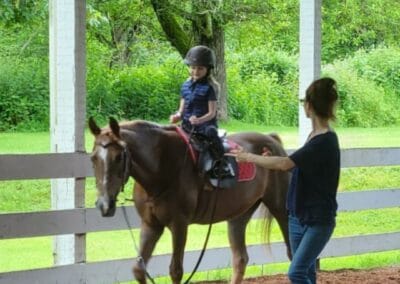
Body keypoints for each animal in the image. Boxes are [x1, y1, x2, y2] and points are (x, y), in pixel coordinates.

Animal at [88, 117, 290, 284]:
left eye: (118, 157)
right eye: (93, 158)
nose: (104, 205)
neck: (162, 165)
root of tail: (272, 141)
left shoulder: (179, 225)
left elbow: (175, 271)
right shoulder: (151, 224)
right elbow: (138, 270)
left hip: (281, 210)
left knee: (290, 251)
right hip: (238, 216)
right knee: (240, 259)